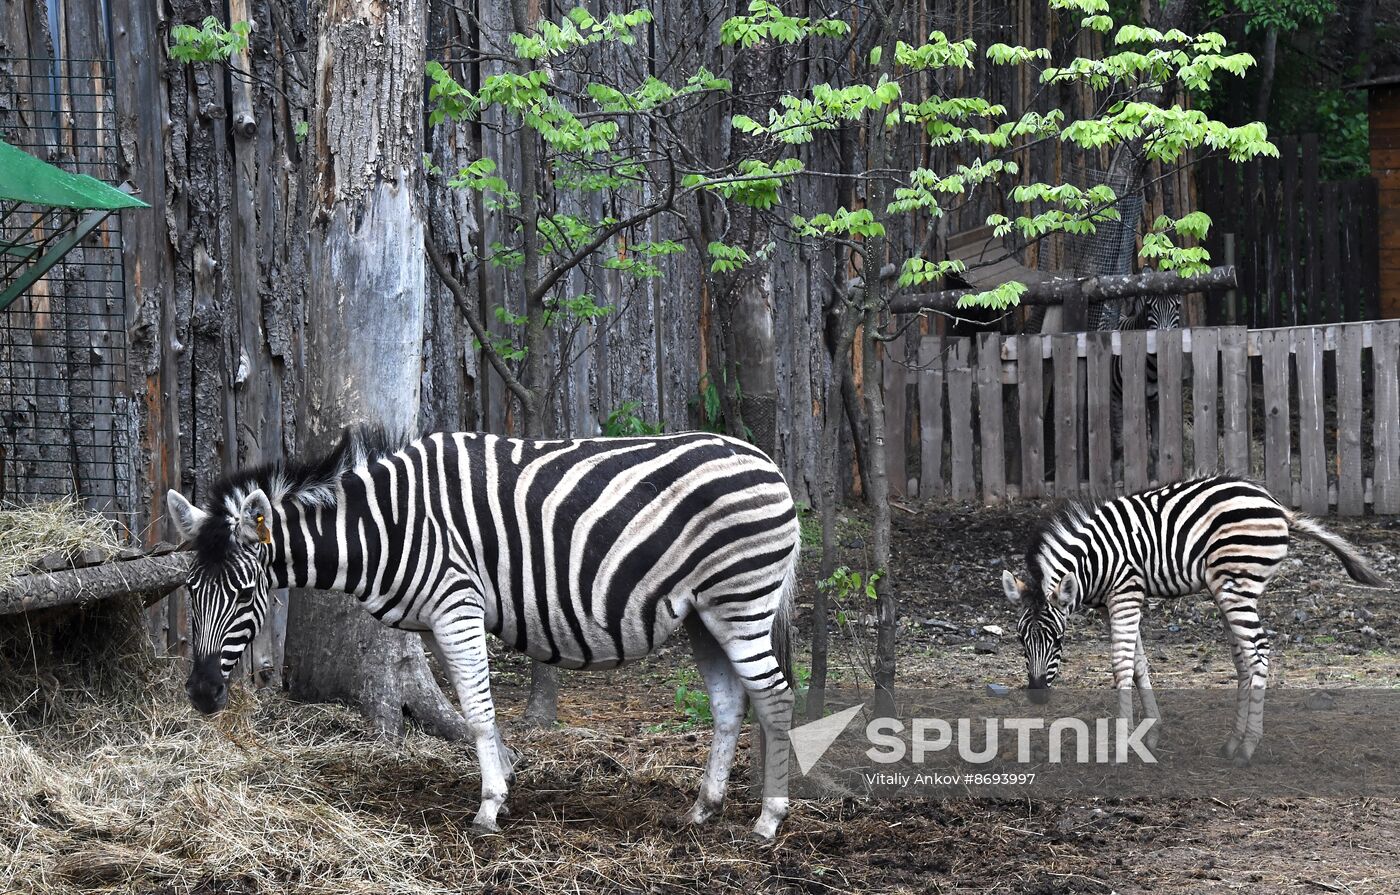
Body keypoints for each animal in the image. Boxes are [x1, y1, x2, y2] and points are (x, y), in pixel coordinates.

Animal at [163, 425, 800, 840]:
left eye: (246, 593)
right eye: (190, 591)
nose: (200, 695)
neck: (386, 525)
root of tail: (768, 461)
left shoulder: (457, 603)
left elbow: (476, 708)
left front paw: (491, 806)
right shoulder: (442, 616)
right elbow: (469, 704)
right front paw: (505, 781)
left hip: (740, 600)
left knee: (775, 697)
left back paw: (770, 817)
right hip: (703, 613)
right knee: (729, 703)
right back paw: (704, 809)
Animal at [1002, 479, 1383, 767]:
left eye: (1057, 639)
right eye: (1021, 639)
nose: (1036, 696)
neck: (1093, 562)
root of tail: (1277, 505)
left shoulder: (1126, 593)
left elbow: (1121, 665)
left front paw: (1122, 744)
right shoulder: (1117, 602)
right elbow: (1139, 665)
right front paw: (1150, 734)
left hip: (1236, 587)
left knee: (1258, 654)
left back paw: (1248, 747)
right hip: (1227, 590)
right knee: (1243, 660)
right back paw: (1233, 742)